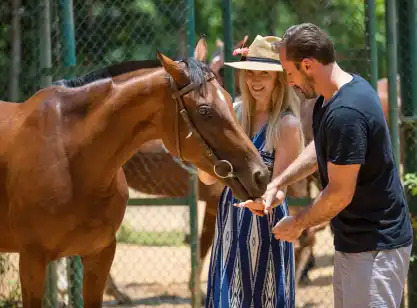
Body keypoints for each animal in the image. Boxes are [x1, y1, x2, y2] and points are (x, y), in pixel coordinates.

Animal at [0, 37, 272, 306]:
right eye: (205, 111)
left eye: (228, 99)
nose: (260, 175)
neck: (70, 159)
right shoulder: (32, 261)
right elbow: (203, 245)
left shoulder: (100, 254)